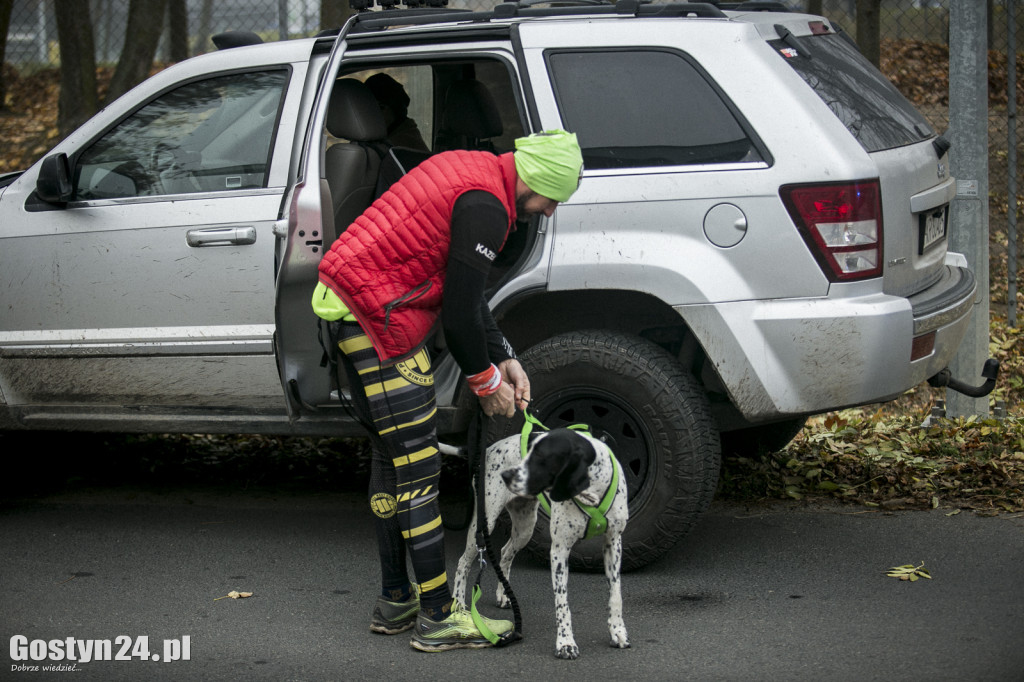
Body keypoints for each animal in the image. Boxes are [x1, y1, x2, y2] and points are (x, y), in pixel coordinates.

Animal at [458, 428, 630, 655]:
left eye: (540, 456)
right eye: (528, 451)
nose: (506, 475)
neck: (592, 492)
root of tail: (489, 448)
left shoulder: (613, 543)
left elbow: (616, 595)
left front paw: (618, 631)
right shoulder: (559, 550)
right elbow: (562, 603)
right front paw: (565, 643)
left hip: (525, 529)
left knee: (505, 552)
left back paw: (504, 594)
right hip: (483, 525)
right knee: (462, 563)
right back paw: (457, 605)